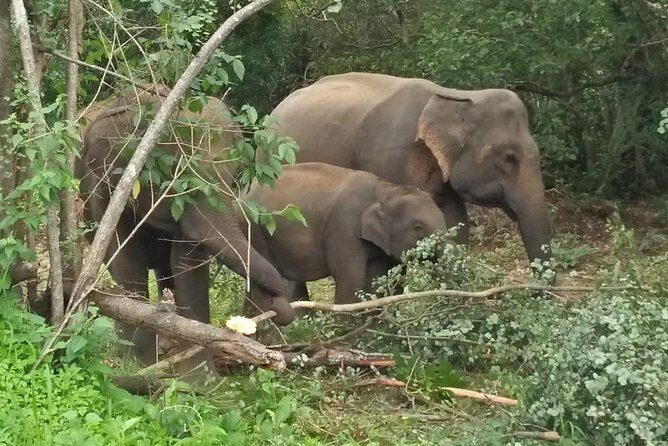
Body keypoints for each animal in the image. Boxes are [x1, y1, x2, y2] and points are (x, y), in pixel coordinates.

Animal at [76, 85, 295, 363]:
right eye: (174, 176)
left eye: (234, 174)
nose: (277, 303)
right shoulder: (104, 191)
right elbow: (127, 264)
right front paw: (142, 364)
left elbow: (186, 264)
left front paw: (197, 364)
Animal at [240, 162, 447, 304]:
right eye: (417, 227)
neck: (385, 189)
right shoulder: (345, 227)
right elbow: (350, 279)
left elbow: (375, 282)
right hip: (255, 229)